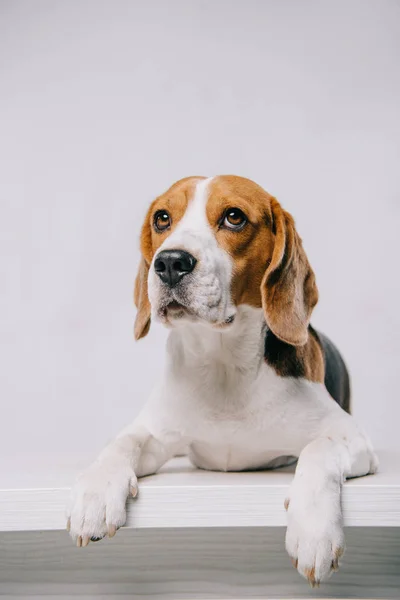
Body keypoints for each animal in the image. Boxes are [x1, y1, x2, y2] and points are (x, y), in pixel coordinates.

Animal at [68, 176, 378, 588]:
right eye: (162, 218)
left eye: (234, 217)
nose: (170, 262)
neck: (223, 365)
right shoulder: (155, 432)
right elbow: (121, 443)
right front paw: (96, 493)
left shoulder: (352, 438)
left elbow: (318, 450)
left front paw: (314, 531)